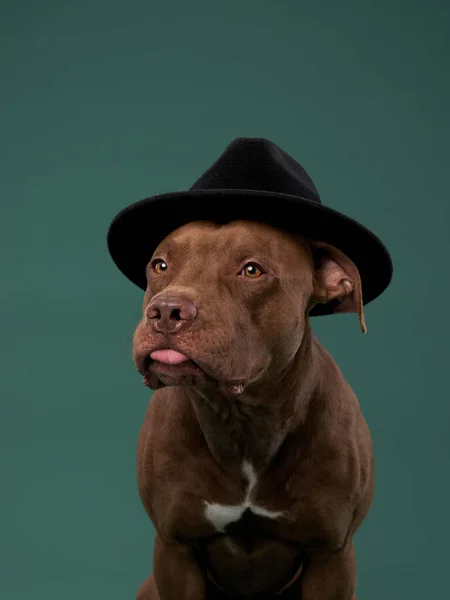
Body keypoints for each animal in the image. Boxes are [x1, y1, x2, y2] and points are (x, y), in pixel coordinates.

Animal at [130, 220, 372, 600]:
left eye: (252, 270)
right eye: (160, 265)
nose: (166, 310)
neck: (240, 420)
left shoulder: (332, 556)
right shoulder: (174, 550)